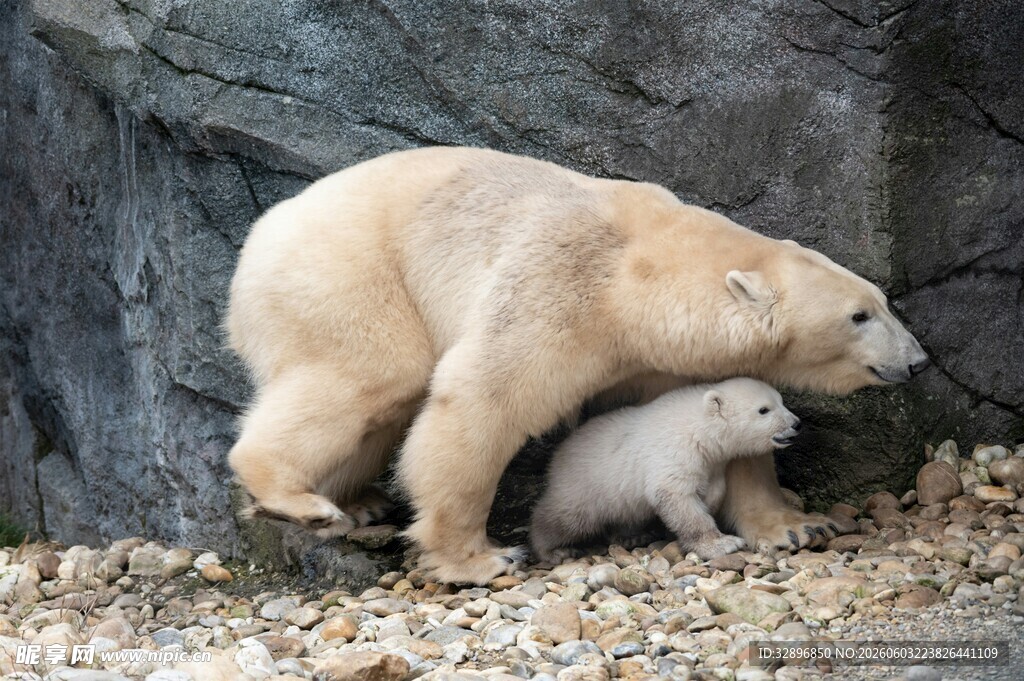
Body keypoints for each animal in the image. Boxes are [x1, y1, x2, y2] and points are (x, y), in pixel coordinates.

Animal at [530, 378, 802, 562]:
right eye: (764, 410)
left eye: (781, 401)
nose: (796, 424)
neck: (699, 427)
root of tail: (559, 455)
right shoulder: (674, 452)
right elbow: (677, 498)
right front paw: (722, 543)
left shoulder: (712, 461)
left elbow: (714, 487)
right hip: (585, 486)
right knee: (565, 518)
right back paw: (552, 549)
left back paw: (631, 536)